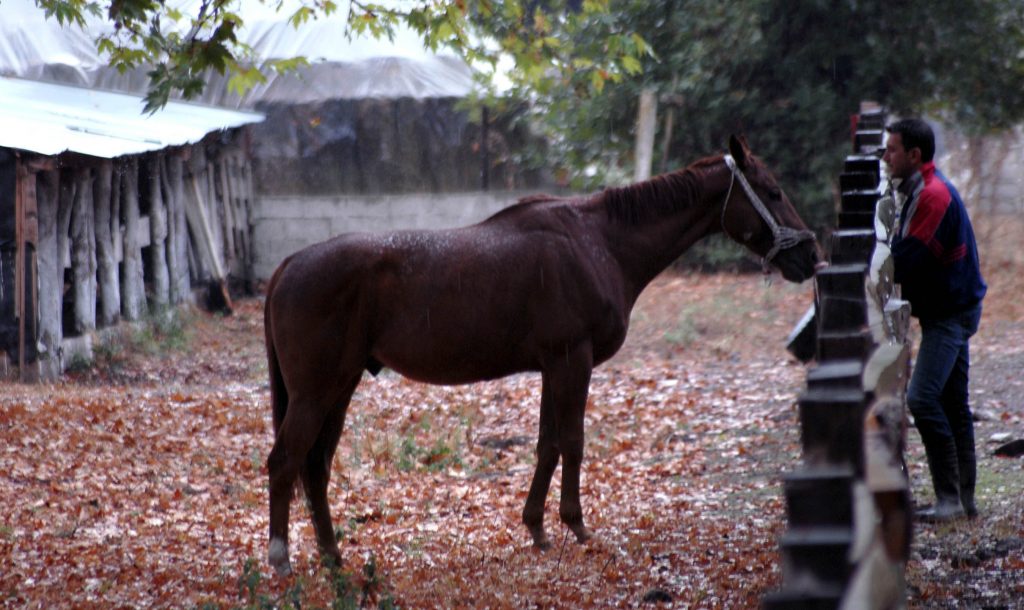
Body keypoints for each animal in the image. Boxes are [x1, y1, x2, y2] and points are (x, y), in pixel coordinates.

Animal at [262, 136, 815, 573]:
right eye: (773, 191)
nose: (811, 255)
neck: (597, 241)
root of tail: (287, 265)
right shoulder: (573, 360)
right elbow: (572, 441)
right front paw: (576, 525)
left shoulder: (554, 365)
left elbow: (547, 444)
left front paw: (537, 529)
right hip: (316, 392)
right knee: (286, 462)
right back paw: (281, 559)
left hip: (340, 386)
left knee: (316, 466)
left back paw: (332, 556)